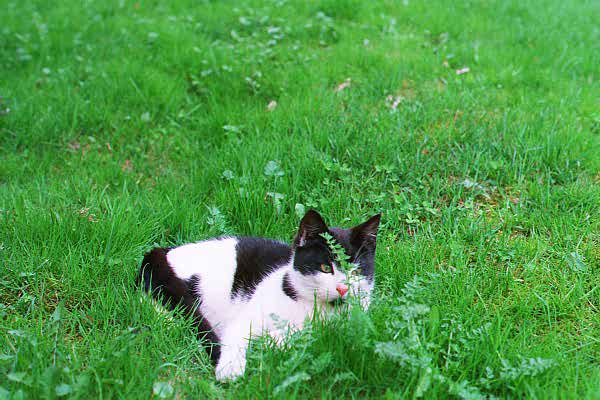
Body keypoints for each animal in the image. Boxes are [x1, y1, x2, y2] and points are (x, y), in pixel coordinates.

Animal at [137, 209, 380, 381]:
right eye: (325, 267)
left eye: (356, 271)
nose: (342, 288)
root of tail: (163, 251)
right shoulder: (245, 317)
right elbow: (235, 336)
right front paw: (230, 369)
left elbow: (308, 334)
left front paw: (270, 341)